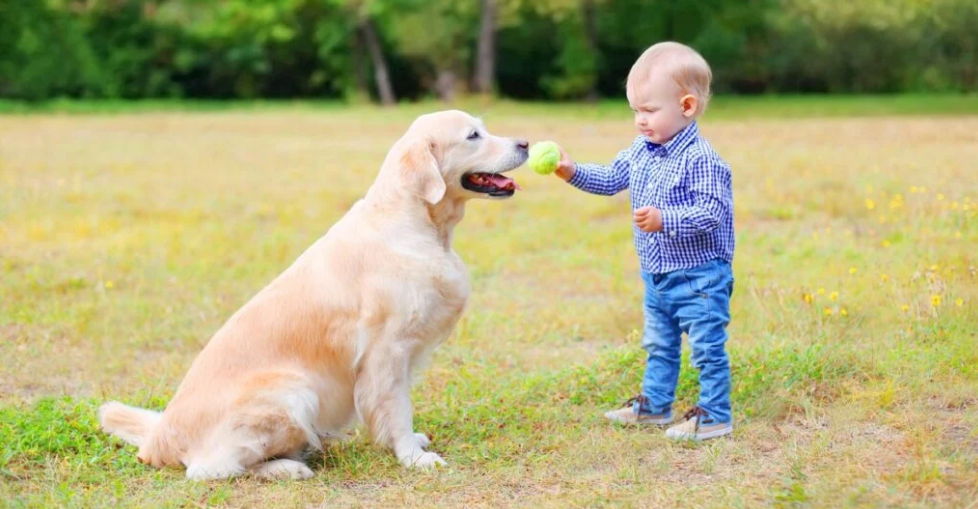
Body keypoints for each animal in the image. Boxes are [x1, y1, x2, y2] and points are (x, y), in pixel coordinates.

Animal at [98, 109, 528, 478]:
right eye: (473, 136)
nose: (524, 142)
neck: (417, 224)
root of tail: (159, 437)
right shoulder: (386, 350)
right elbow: (397, 407)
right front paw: (412, 456)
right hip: (293, 392)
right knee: (210, 469)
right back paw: (288, 468)